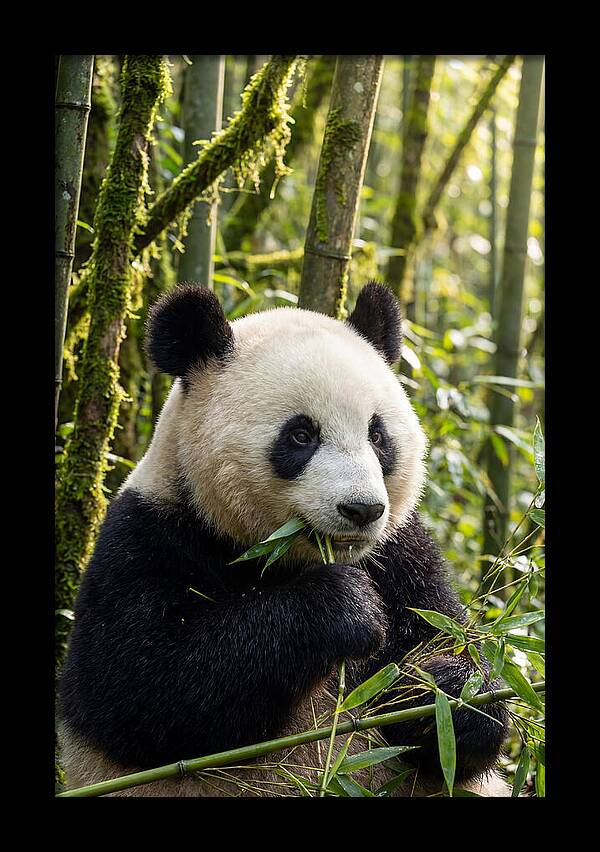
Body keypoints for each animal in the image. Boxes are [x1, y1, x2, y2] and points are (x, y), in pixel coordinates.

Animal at [58, 281, 510, 797]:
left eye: (377, 436)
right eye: (300, 435)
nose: (361, 510)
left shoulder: (402, 554)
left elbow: (454, 662)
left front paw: (443, 693)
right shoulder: (147, 539)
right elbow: (144, 688)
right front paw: (346, 608)